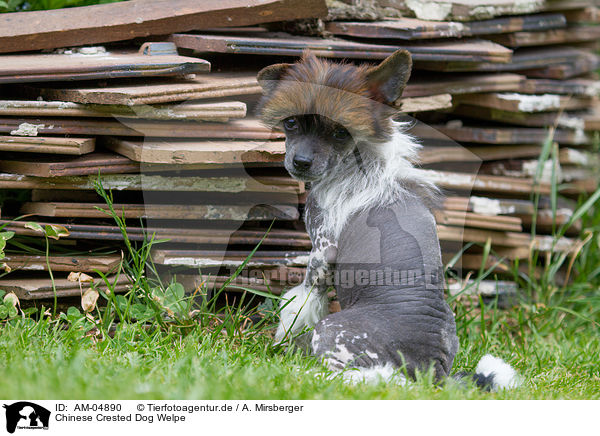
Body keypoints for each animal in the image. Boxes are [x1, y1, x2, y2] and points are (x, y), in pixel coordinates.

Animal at [255, 50, 516, 388]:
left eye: (340, 132)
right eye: (291, 123)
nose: (301, 162)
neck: (360, 160)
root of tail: (431, 374)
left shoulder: (322, 254)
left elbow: (301, 305)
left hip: (333, 332)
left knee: (358, 376)